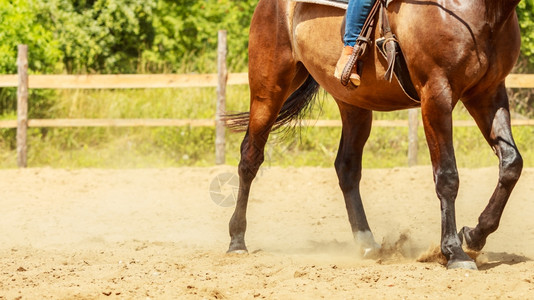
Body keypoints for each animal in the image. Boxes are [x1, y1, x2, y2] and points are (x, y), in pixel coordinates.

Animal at [225, 0, 524, 270]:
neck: (480, 11)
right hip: (269, 87)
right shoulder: (437, 95)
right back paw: (237, 241)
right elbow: (447, 176)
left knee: (346, 167)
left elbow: (511, 164)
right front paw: (454, 252)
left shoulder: (487, 92)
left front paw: (473, 236)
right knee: (249, 157)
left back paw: (366, 242)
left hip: (353, 104)